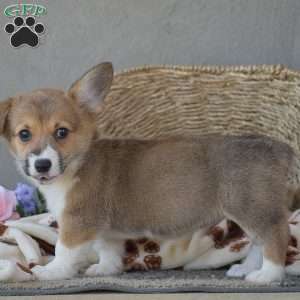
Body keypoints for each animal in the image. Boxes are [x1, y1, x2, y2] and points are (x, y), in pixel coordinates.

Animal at [0, 62, 298, 282]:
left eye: (61, 132)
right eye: (24, 134)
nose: (42, 164)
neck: (77, 164)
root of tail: (277, 148)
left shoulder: (78, 222)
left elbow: (63, 250)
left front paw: (51, 272)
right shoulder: (106, 231)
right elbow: (108, 250)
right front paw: (105, 270)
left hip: (253, 208)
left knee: (276, 236)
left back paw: (268, 276)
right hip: (251, 210)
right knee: (257, 242)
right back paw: (247, 269)